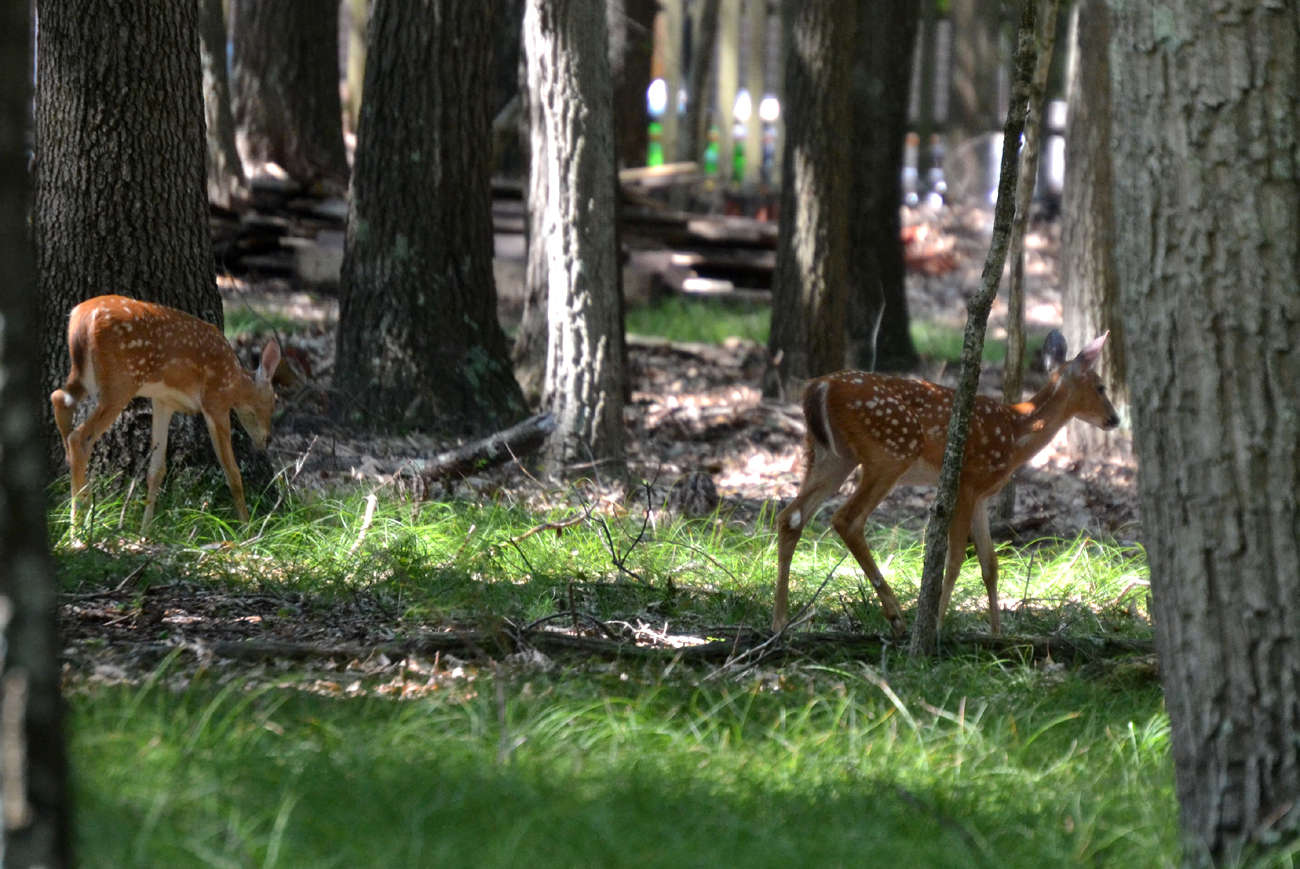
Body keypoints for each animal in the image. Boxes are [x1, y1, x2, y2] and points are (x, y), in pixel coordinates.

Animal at [51, 295, 281, 532]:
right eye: (274, 400)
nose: (267, 439)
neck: (234, 381)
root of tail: (82, 317)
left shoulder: (163, 401)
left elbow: (156, 470)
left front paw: (145, 531)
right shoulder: (215, 400)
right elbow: (232, 471)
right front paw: (247, 529)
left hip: (84, 376)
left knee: (59, 399)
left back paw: (83, 499)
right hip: (121, 381)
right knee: (79, 437)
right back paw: (77, 526)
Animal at [772, 331, 1118, 637]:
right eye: (1101, 387)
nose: (1114, 419)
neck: (1016, 432)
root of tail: (820, 385)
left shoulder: (981, 495)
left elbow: (990, 564)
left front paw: (997, 634)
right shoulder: (966, 482)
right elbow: (953, 561)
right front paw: (937, 626)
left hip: (831, 455)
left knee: (791, 516)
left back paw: (781, 621)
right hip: (891, 450)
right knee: (846, 519)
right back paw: (897, 617)